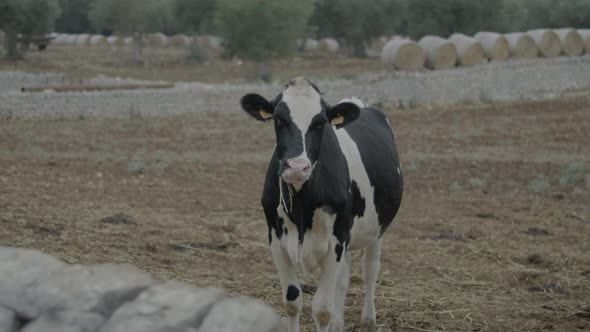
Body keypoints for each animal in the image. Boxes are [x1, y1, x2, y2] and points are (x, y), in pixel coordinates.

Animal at [239, 78, 402, 332]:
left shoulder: (336, 241)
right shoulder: (275, 239)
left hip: (377, 229)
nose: (297, 167)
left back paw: (368, 319)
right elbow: (292, 301)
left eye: (320, 123)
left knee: (370, 269)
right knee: (343, 278)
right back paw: (338, 323)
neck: (302, 206)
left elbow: (322, 309)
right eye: (278, 119)